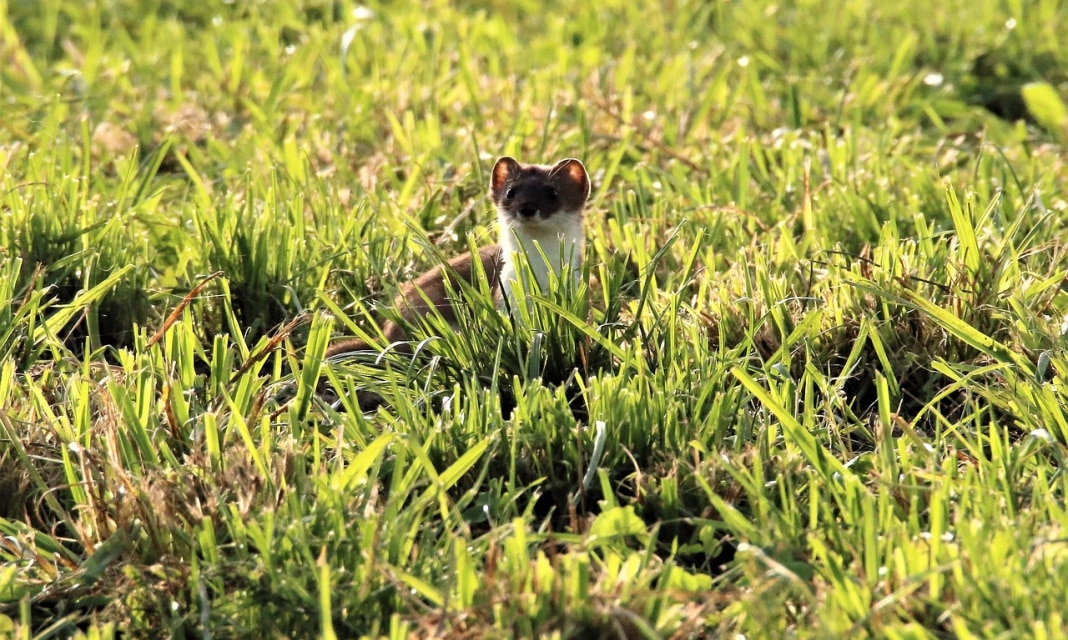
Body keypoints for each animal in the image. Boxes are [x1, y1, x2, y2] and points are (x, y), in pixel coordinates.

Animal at [324, 154, 593, 354]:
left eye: (552, 193)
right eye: (511, 192)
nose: (527, 208)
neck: (538, 269)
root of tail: (388, 333)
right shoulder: (504, 294)